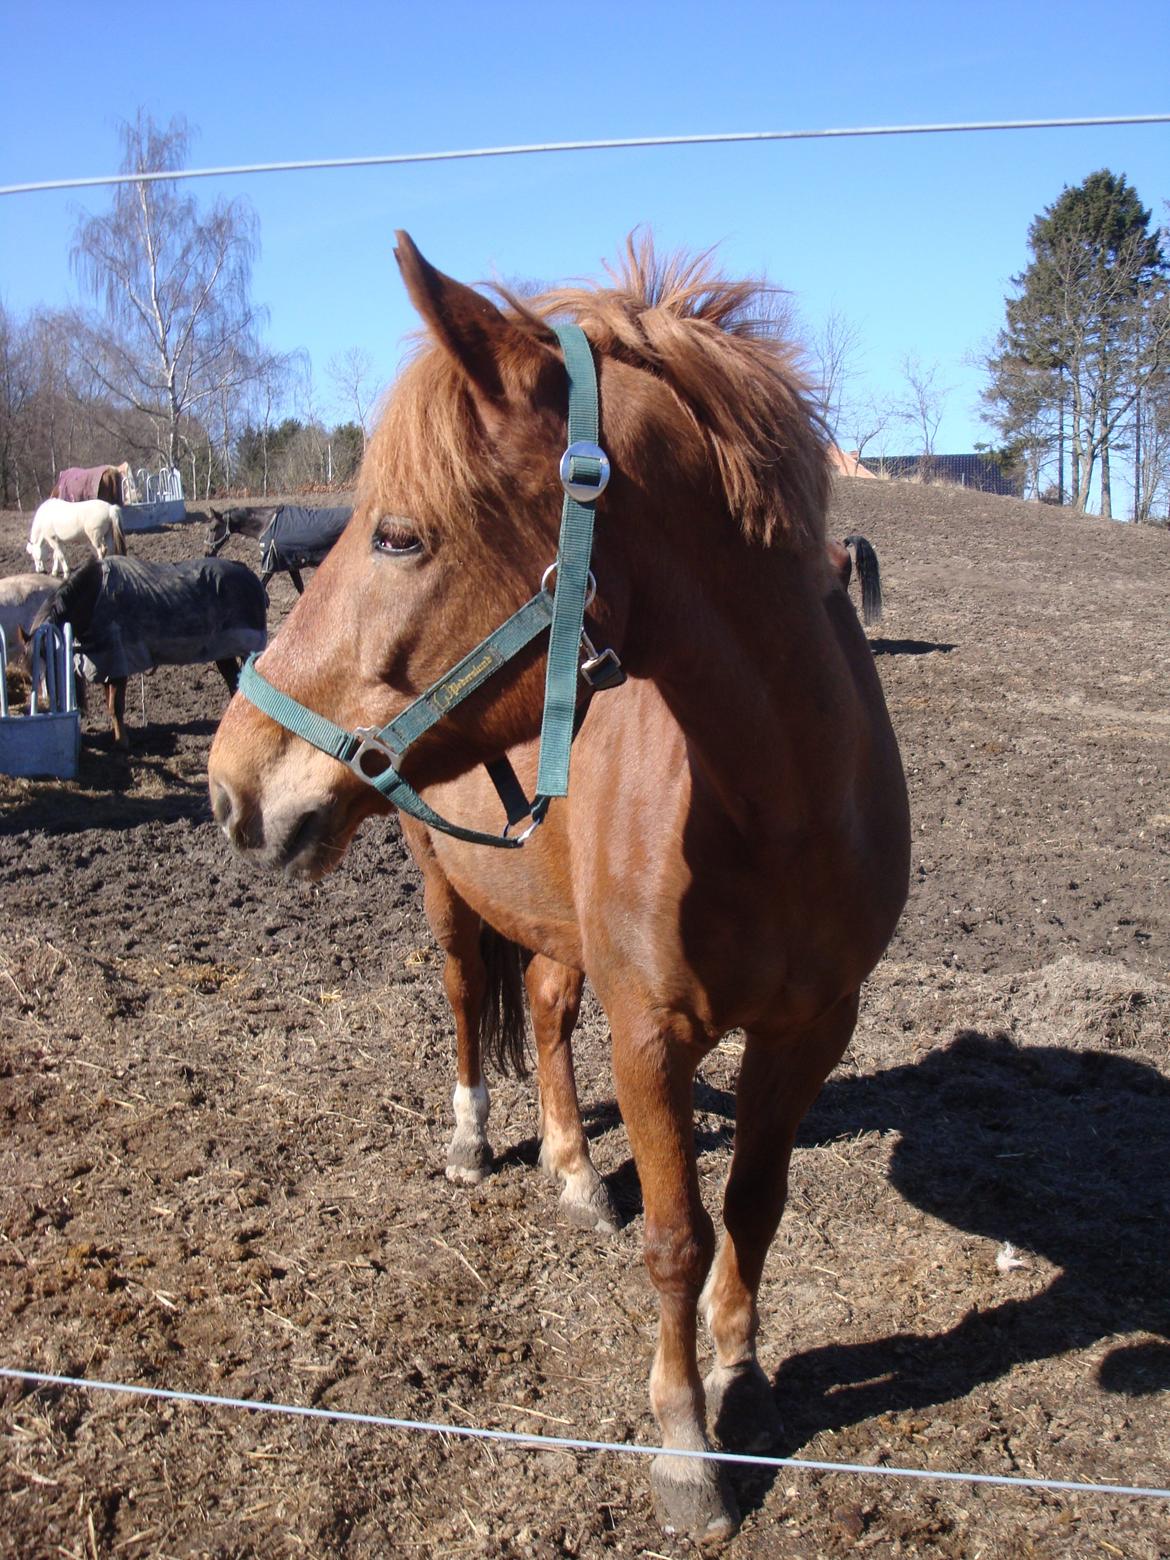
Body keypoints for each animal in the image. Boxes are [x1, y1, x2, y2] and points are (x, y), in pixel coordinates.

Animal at [33, 555, 271, 748]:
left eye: (50, 659)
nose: (48, 704)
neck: (96, 598)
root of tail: (250, 576)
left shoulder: (119, 664)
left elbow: (115, 706)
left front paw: (123, 742)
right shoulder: (107, 664)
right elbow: (110, 703)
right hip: (224, 652)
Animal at [205, 505, 352, 589]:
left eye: (213, 528)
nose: (207, 553)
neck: (266, 524)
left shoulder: (270, 564)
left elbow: (262, 585)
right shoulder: (291, 565)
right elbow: (300, 587)